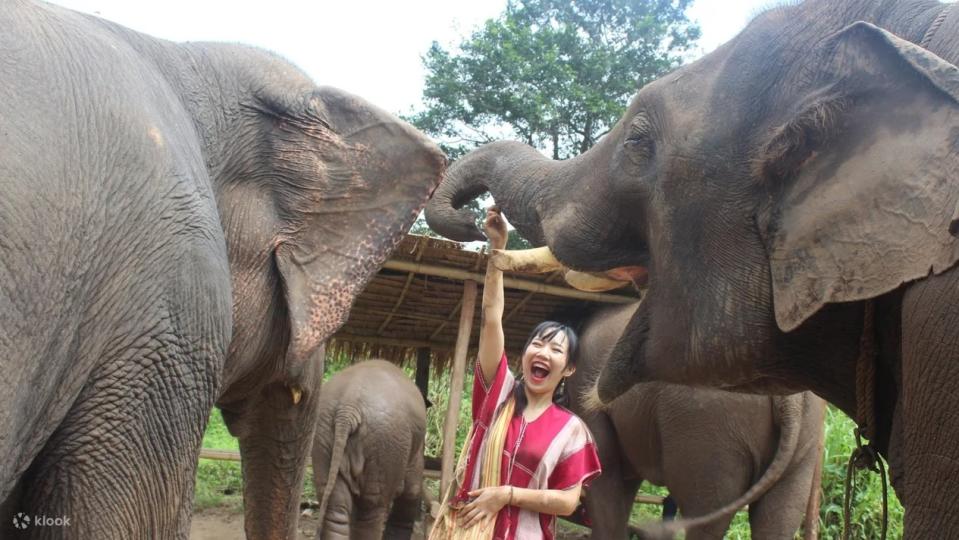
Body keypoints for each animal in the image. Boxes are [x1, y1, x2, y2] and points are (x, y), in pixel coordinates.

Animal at [312, 358, 428, 540]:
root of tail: (348, 407)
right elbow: (412, 489)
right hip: (384, 443)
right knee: (371, 508)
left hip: (322, 436)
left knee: (336, 507)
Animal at [568, 304, 824, 540]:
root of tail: (789, 399)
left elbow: (606, 475)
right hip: (803, 438)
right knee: (780, 515)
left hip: (709, 430)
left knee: (706, 515)